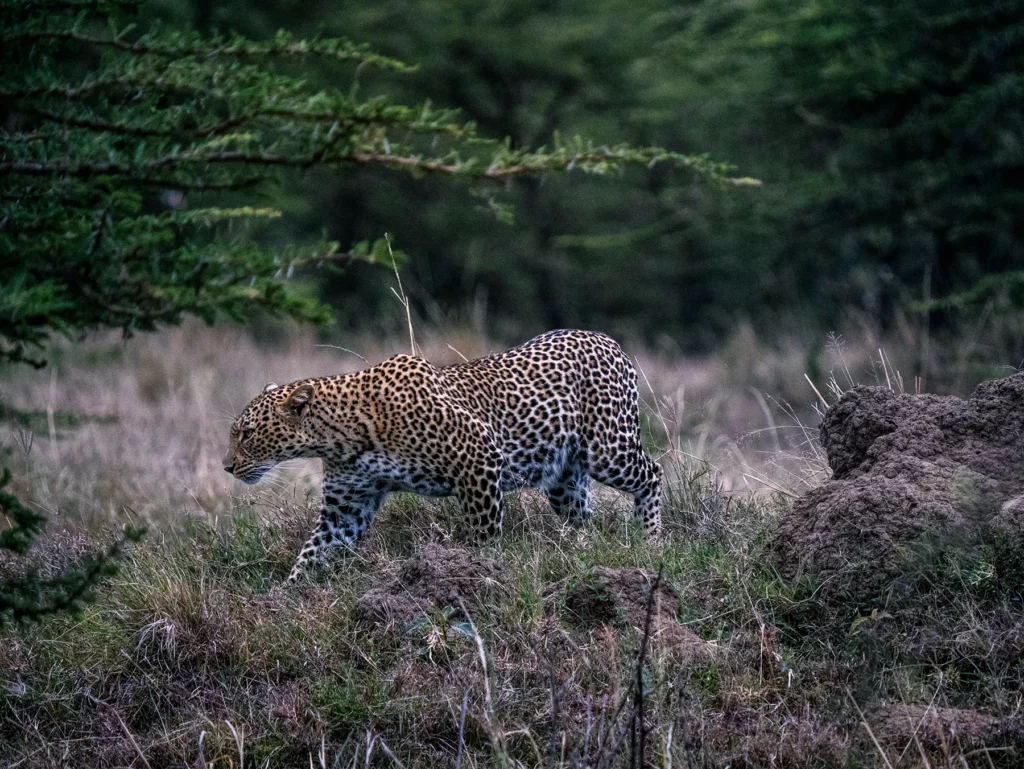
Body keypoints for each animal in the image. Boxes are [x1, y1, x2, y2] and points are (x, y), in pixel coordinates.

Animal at [223, 329, 663, 583]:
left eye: (247, 433)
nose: (227, 466)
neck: (342, 434)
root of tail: (608, 340)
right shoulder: (346, 507)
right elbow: (312, 553)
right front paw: (284, 597)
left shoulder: (478, 457)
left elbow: (483, 532)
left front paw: (479, 571)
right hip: (562, 477)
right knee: (582, 516)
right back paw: (582, 554)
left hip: (609, 449)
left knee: (653, 473)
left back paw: (651, 541)